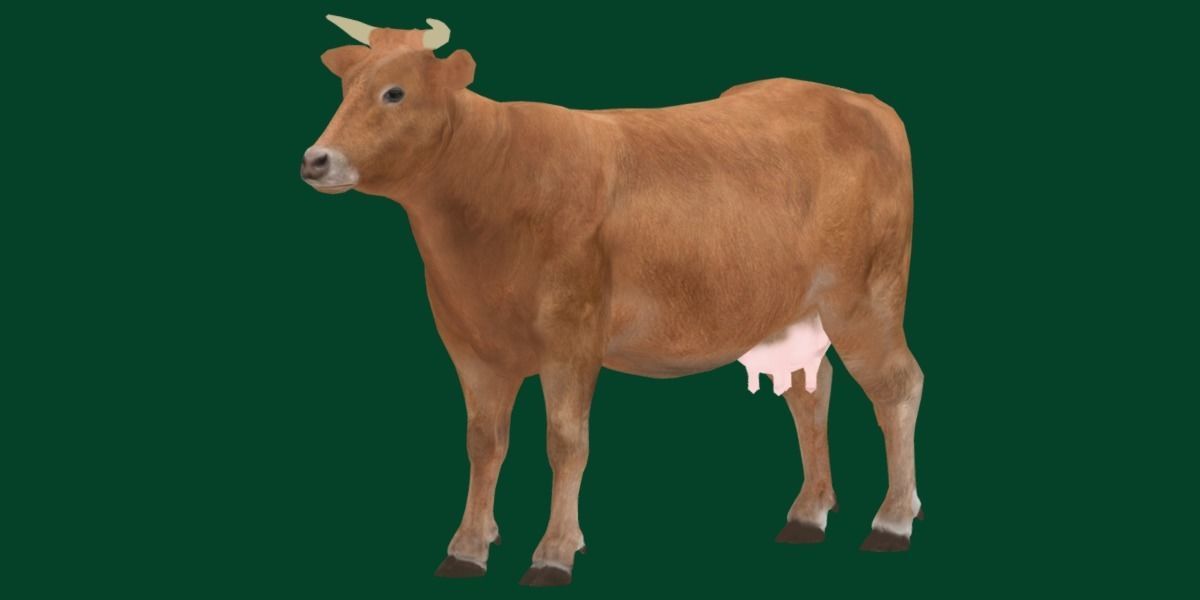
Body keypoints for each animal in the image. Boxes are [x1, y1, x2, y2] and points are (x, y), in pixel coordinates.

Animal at [301, 15, 925, 587]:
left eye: (395, 91)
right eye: (345, 87)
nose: (315, 159)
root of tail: (860, 101)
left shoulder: (572, 337)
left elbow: (566, 442)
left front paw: (553, 552)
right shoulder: (470, 344)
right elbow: (484, 443)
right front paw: (469, 547)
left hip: (866, 297)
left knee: (898, 384)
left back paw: (893, 521)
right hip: (793, 310)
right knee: (808, 391)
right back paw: (808, 513)